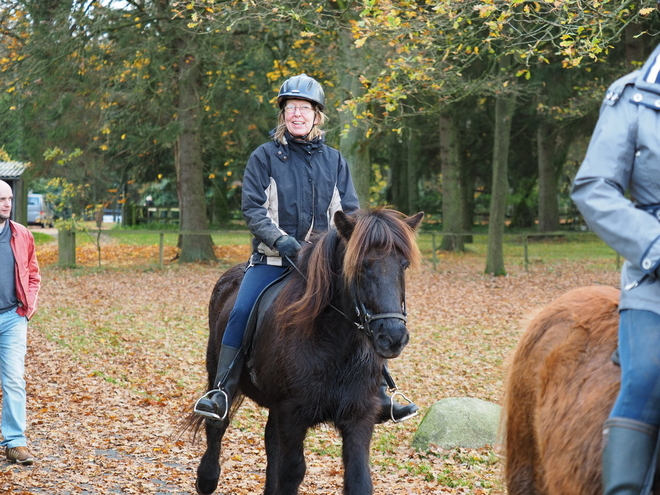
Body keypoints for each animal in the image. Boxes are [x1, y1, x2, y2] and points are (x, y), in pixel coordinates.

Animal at [193, 208, 426, 495]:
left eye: (403, 265)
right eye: (361, 265)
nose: (393, 338)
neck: (335, 345)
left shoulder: (358, 416)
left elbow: (359, 479)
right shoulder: (293, 415)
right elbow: (292, 472)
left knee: (271, 441)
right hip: (218, 371)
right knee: (217, 424)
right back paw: (206, 478)